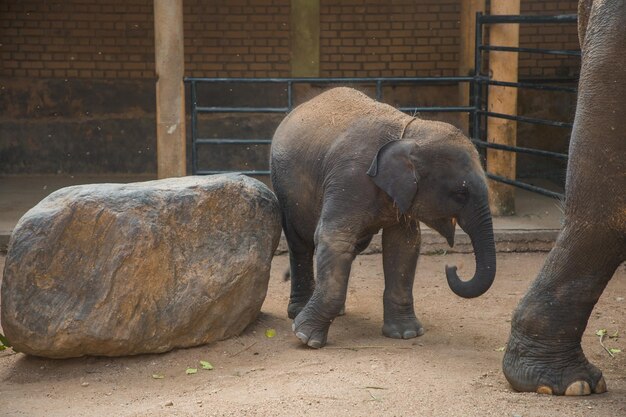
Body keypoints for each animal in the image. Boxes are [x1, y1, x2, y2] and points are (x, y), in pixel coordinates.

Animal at [268, 88, 492, 348]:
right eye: (461, 193)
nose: (451, 266)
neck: (410, 132)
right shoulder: (349, 178)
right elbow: (335, 239)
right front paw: (305, 338)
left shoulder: (402, 194)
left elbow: (403, 245)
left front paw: (406, 334)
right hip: (285, 188)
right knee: (300, 243)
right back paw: (298, 311)